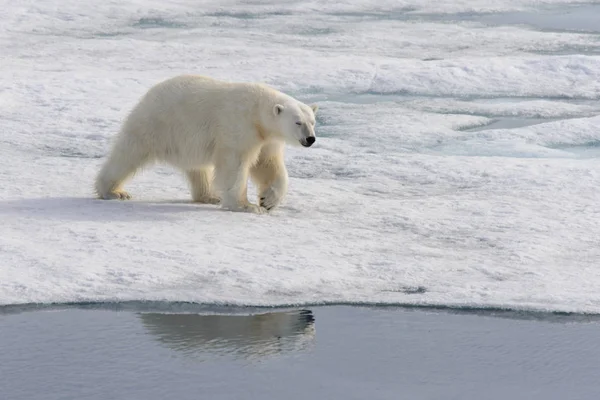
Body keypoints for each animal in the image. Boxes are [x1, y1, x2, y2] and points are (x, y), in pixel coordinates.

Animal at [92, 74, 318, 212]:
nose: (310, 139)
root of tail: (148, 94)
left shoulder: (267, 138)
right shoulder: (239, 126)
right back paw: (114, 191)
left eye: (313, 121)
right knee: (128, 155)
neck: (258, 113)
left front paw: (268, 200)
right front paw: (245, 205)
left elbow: (268, 165)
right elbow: (235, 165)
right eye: (298, 122)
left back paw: (209, 196)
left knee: (198, 169)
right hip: (156, 124)